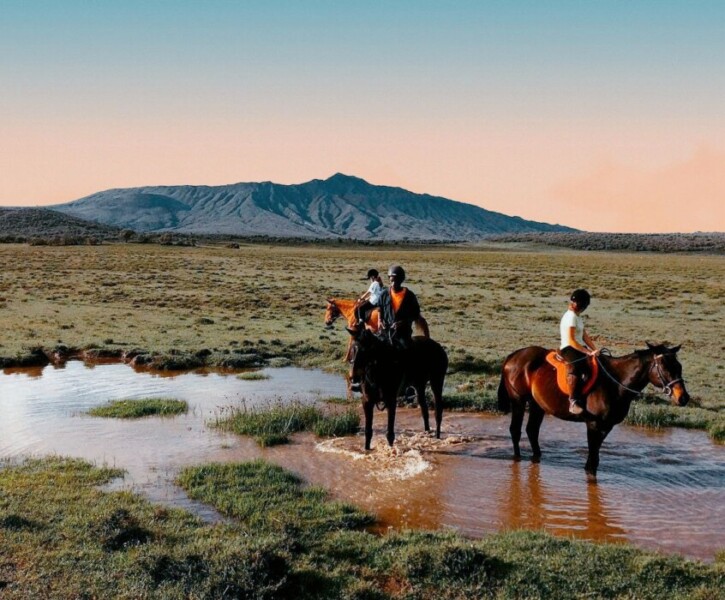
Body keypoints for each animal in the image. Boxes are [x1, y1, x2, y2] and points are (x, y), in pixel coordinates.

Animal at [498, 342, 692, 478]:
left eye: (679, 366)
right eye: (665, 367)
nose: (683, 397)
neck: (616, 383)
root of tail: (513, 356)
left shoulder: (607, 426)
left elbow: (595, 459)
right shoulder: (593, 424)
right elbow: (592, 459)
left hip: (537, 405)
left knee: (532, 431)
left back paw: (537, 457)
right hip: (518, 401)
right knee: (515, 430)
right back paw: (517, 459)